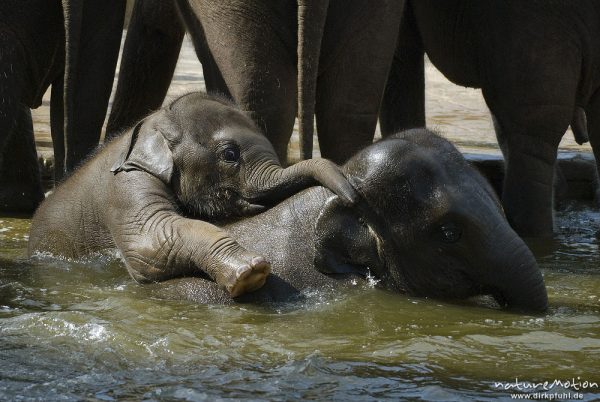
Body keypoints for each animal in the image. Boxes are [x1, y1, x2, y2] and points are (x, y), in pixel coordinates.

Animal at [28, 92, 356, 298]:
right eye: (229, 154)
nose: (351, 195)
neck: (153, 122)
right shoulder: (125, 184)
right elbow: (150, 243)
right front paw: (251, 273)